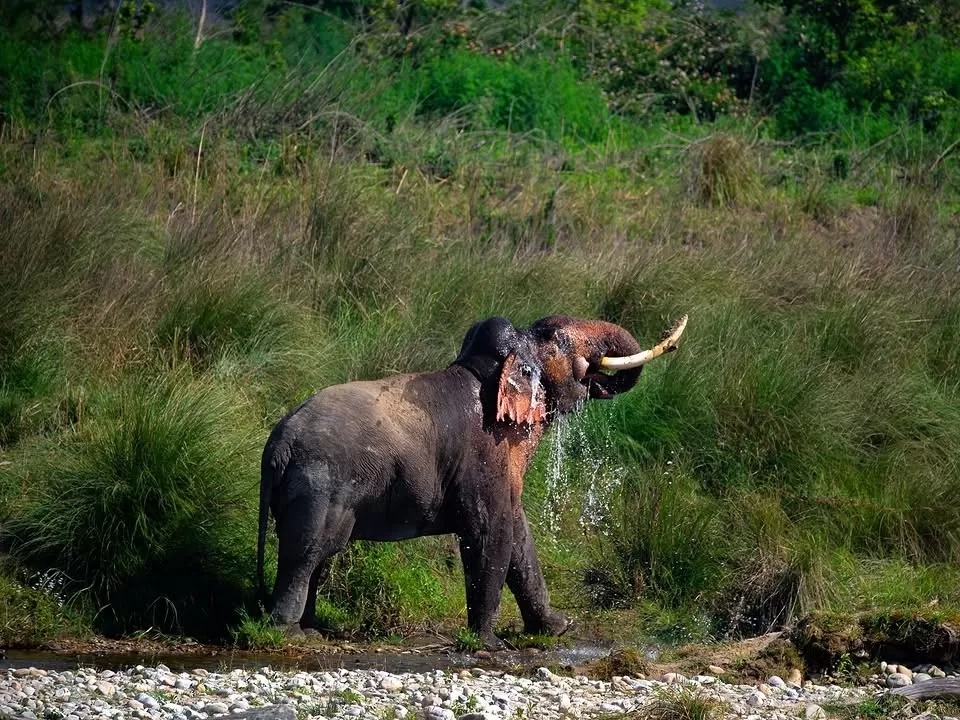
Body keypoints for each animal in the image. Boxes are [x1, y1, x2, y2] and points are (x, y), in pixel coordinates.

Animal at [257, 313, 687, 648]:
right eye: (554, 335)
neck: (483, 370)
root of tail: (276, 447)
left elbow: (519, 534)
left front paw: (559, 628)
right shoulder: (483, 453)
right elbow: (489, 532)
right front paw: (489, 644)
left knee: (314, 558)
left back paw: (311, 628)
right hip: (320, 487)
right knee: (308, 552)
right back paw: (292, 634)